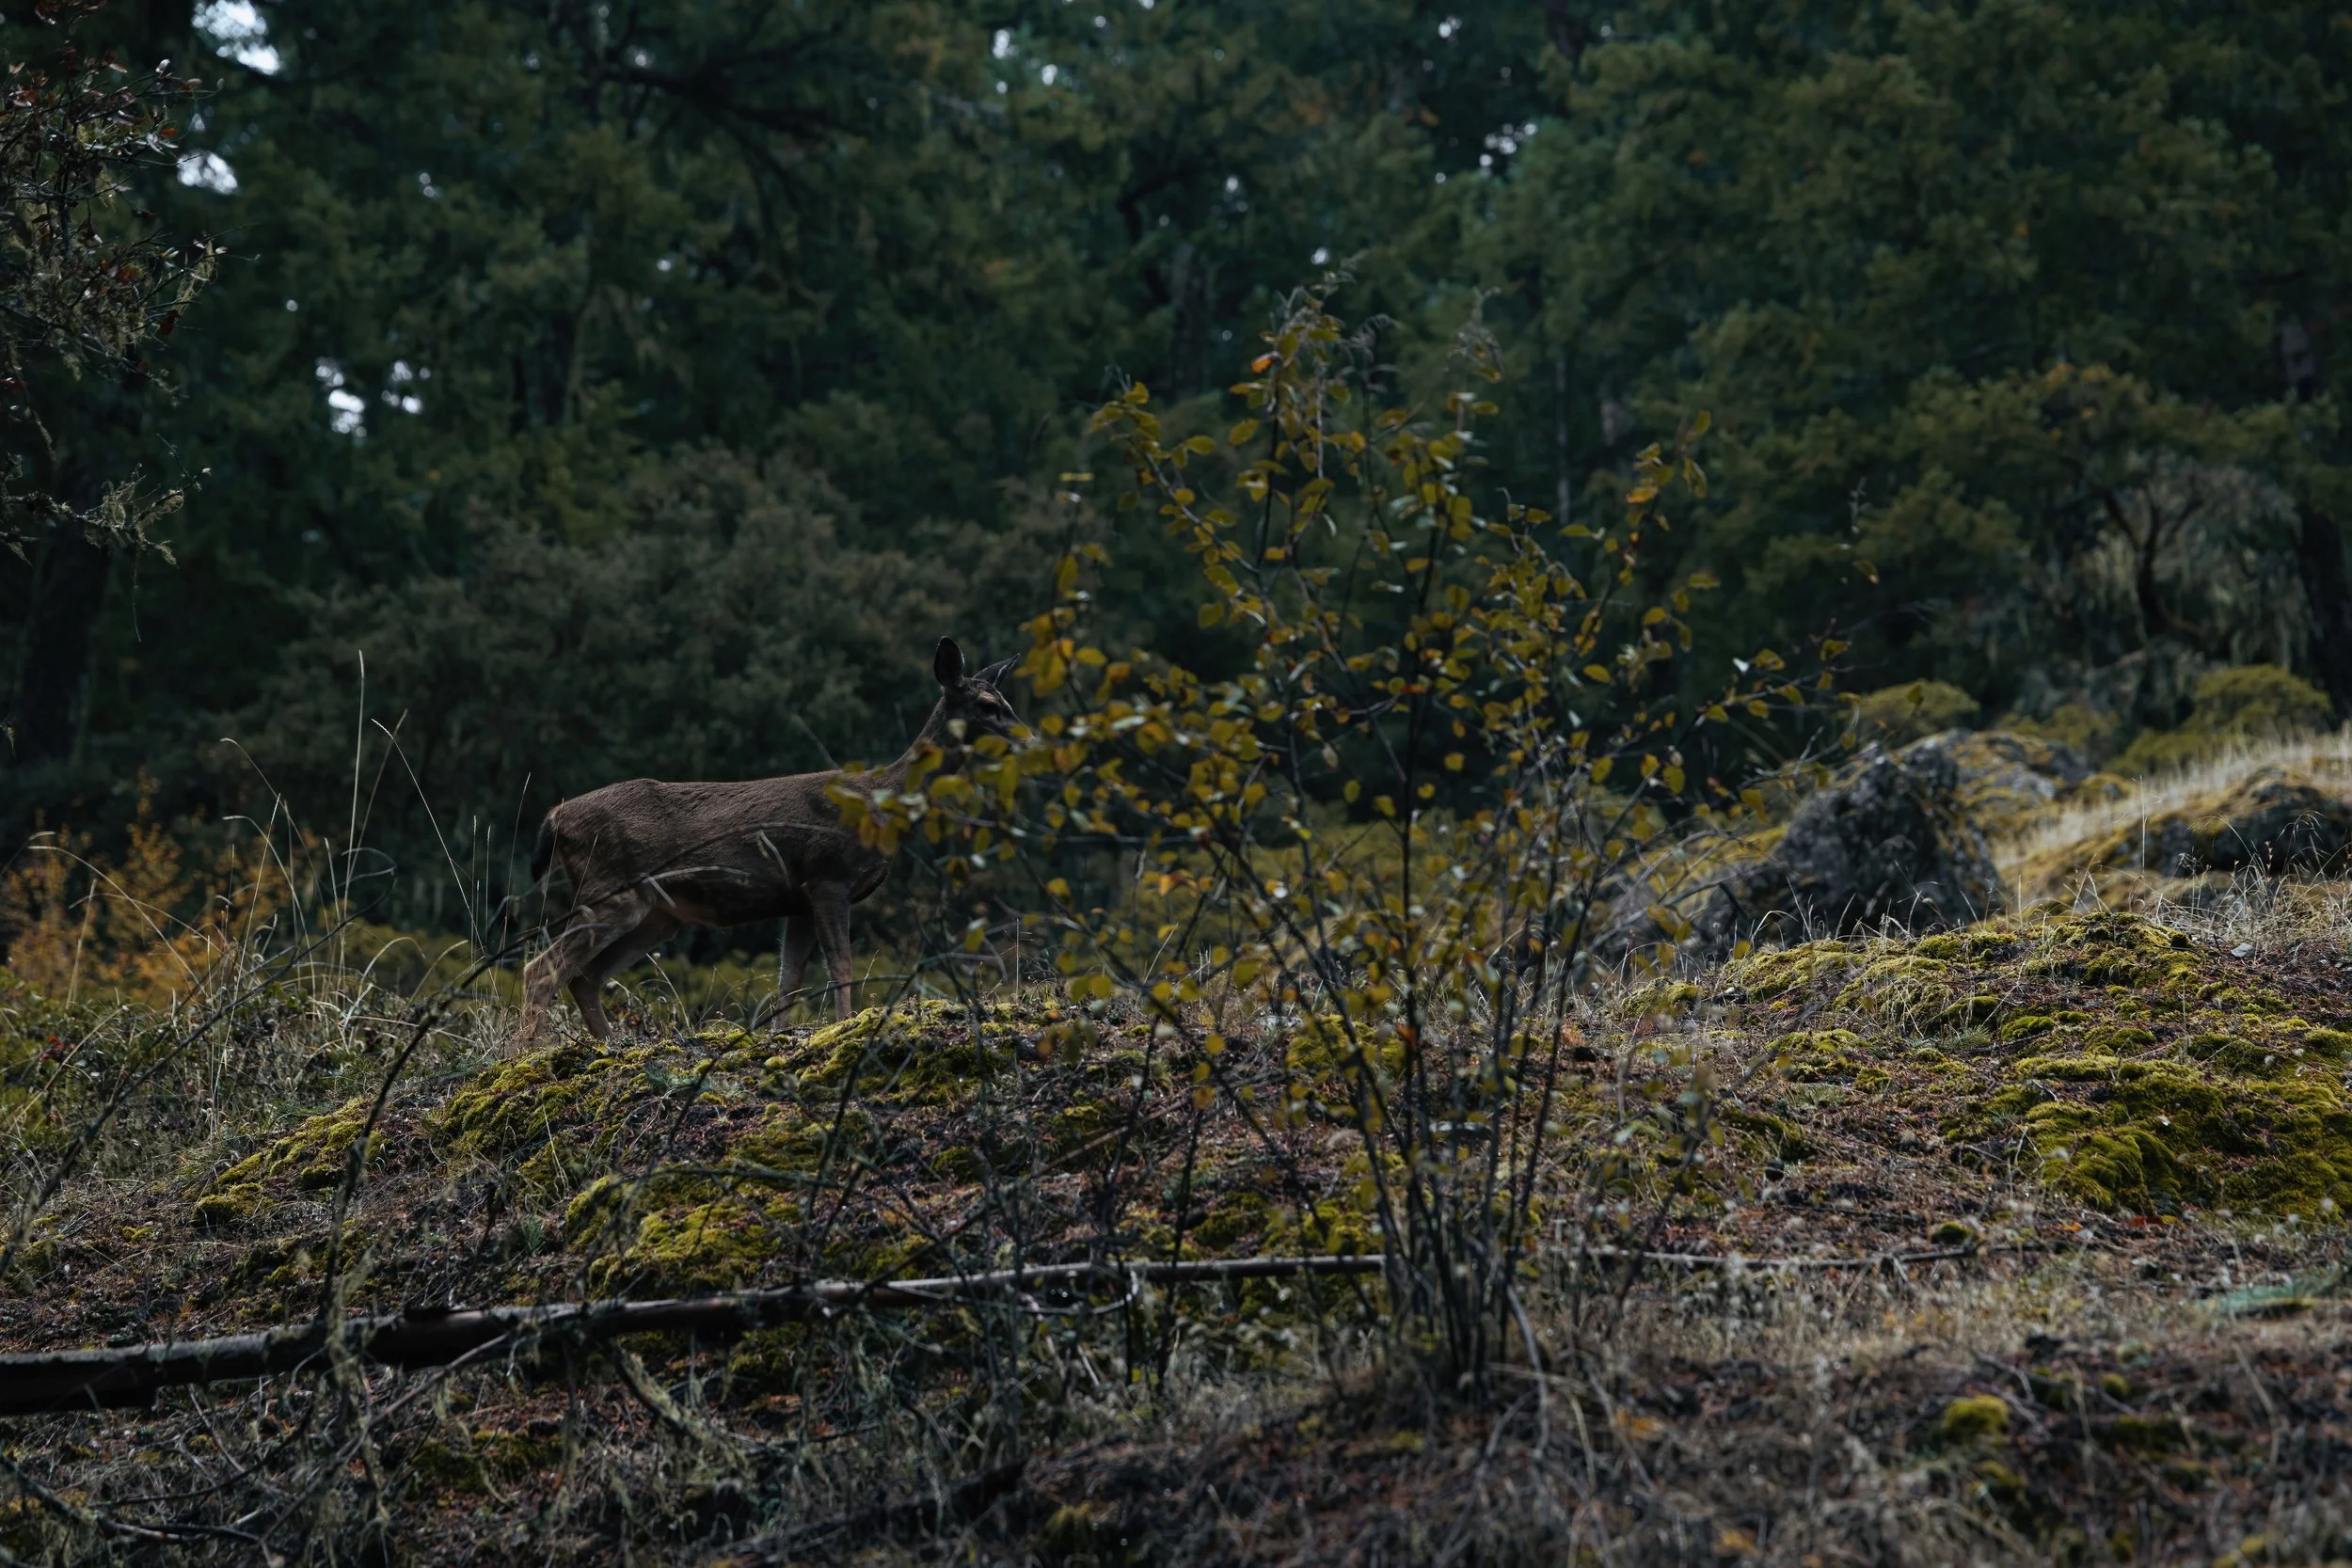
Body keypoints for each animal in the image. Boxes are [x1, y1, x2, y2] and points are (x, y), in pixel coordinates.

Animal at [518, 637, 1022, 1042]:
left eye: (1007, 700)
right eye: (986, 704)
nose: (1025, 736)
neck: (883, 799)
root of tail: (555, 818)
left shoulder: (798, 899)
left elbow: (788, 979)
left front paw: (781, 1036)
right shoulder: (829, 876)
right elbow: (840, 967)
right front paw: (846, 1025)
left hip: (657, 914)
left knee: (583, 977)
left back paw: (611, 1047)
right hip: (611, 889)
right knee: (541, 969)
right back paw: (526, 1055)